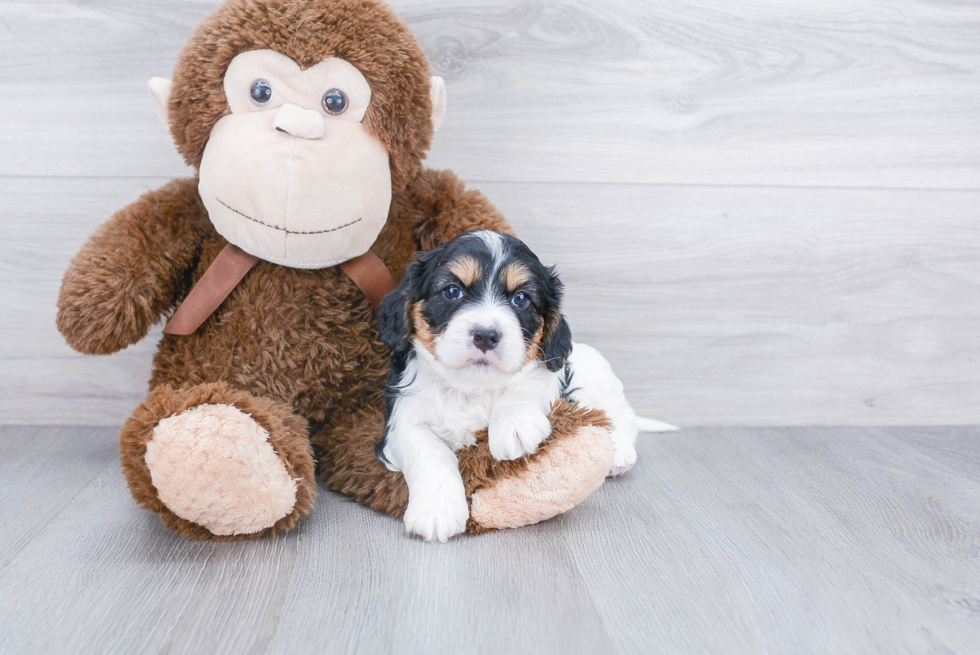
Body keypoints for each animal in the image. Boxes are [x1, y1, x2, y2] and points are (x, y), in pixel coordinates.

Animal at [376, 231, 672, 544]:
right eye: (452, 291)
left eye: (521, 299)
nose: (486, 335)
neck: (472, 387)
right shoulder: (402, 419)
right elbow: (430, 451)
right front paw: (436, 510)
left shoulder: (547, 373)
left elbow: (524, 387)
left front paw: (514, 425)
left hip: (597, 373)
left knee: (622, 416)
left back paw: (621, 452)